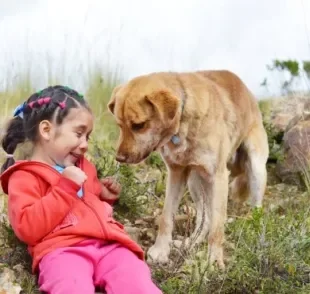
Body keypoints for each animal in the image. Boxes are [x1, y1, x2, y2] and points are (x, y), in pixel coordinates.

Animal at [106, 70, 268, 270]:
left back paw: (258, 243)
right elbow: (166, 217)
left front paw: (214, 261)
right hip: (195, 181)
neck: (183, 118)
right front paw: (161, 251)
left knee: (257, 212)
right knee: (204, 220)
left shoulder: (219, 177)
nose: (119, 158)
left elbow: (217, 227)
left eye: (139, 125)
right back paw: (190, 243)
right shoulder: (176, 173)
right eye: (120, 125)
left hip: (256, 169)